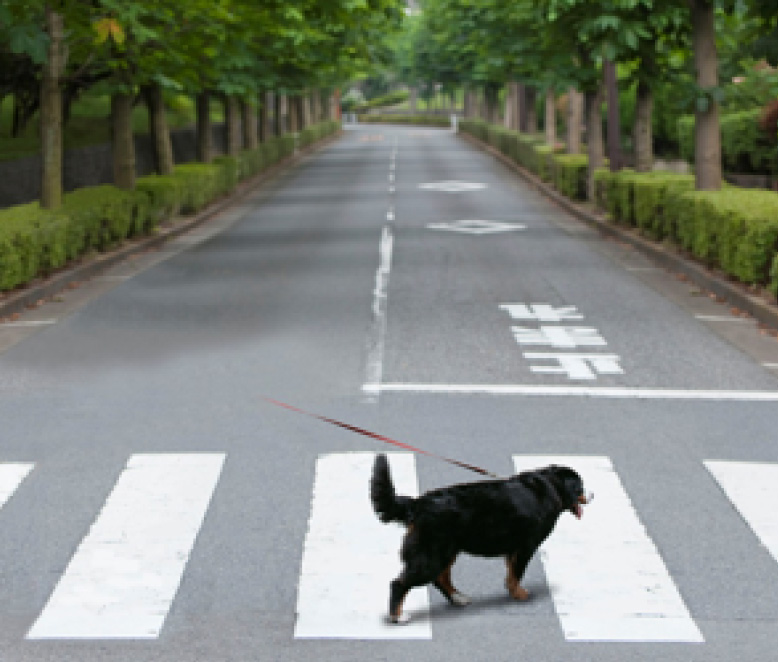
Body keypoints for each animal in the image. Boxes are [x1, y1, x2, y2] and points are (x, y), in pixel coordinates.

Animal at [370, 454, 588, 624]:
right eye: (581, 487)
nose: (592, 494)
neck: (550, 486)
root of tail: (417, 503)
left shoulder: (513, 549)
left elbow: (511, 574)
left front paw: (512, 590)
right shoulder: (526, 546)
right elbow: (517, 573)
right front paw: (520, 594)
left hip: (446, 551)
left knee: (441, 578)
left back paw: (459, 598)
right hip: (431, 555)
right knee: (399, 583)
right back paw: (398, 616)